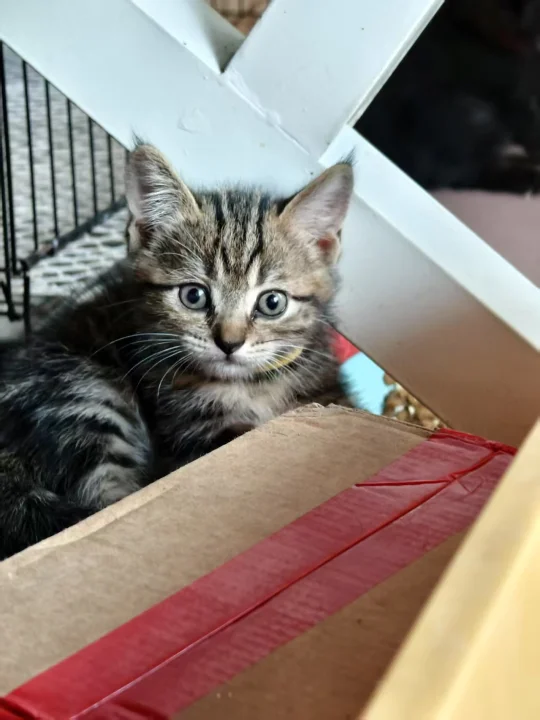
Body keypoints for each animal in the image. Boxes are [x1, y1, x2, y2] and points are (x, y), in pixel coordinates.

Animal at [0, 143, 354, 560]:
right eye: (193, 296)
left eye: (272, 303)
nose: (229, 343)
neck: (252, 387)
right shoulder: (190, 433)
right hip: (86, 393)